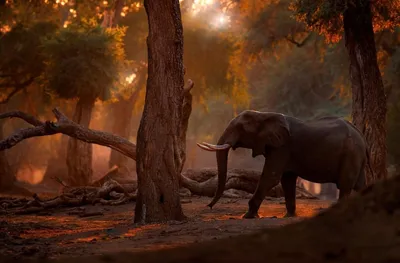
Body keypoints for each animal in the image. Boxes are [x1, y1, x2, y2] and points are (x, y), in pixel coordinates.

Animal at [197, 110, 372, 219]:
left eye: (240, 128)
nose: (209, 206)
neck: (263, 114)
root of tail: (362, 136)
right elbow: (286, 180)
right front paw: (289, 216)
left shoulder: (282, 148)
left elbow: (271, 177)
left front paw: (247, 216)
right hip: (356, 156)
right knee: (359, 184)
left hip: (351, 154)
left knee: (345, 184)